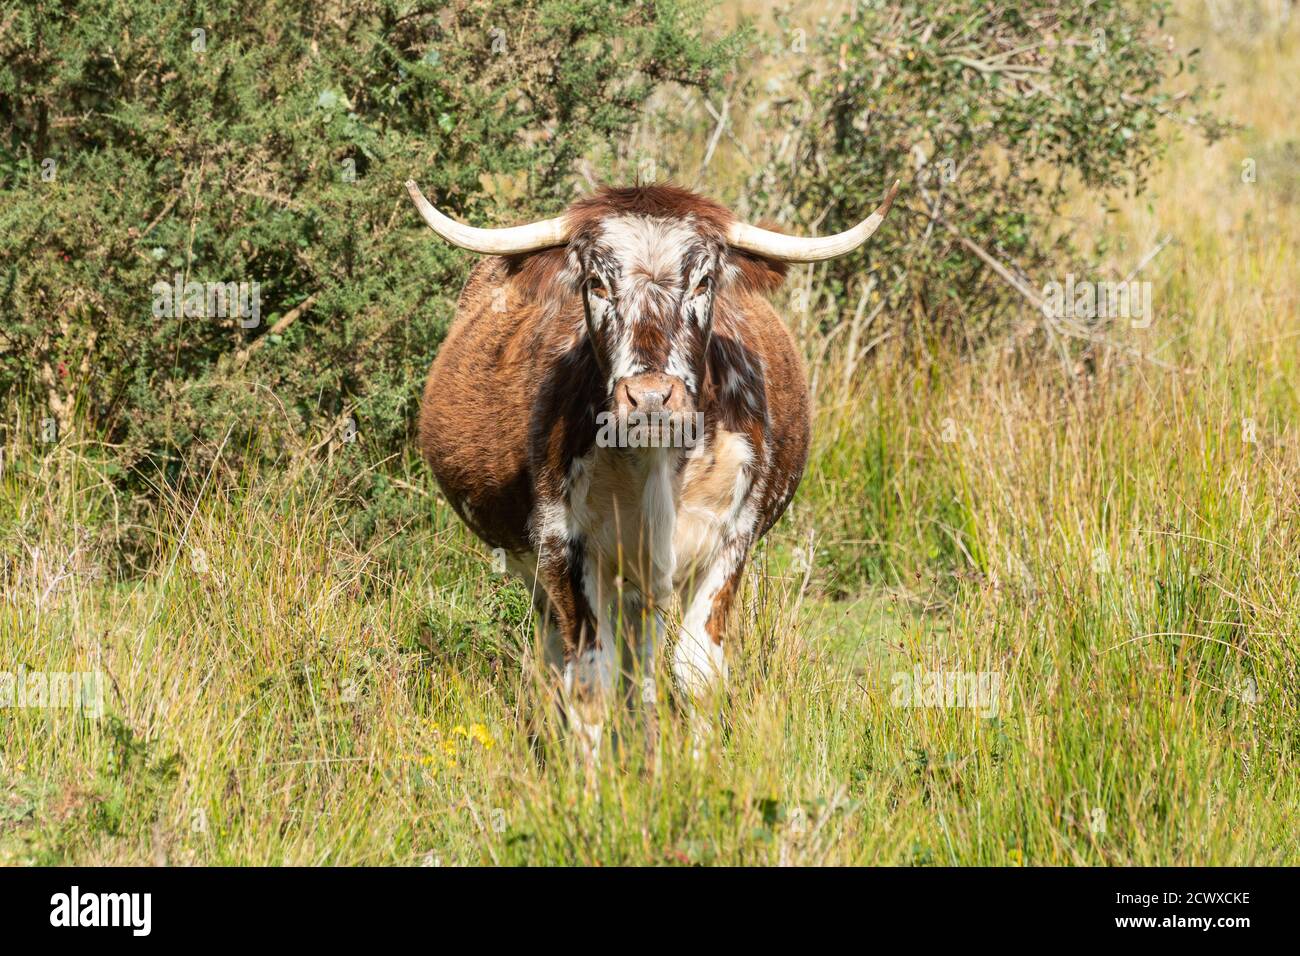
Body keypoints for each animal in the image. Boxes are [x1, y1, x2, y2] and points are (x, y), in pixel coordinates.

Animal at [405, 179, 894, 759]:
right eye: (596, 282)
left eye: (704, 280)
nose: (652, 398)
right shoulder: (565, 546)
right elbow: (589, 678)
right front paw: (591, 779)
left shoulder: (732, 540)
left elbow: (697, 671)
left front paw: (699, 766)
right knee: (559, 654)